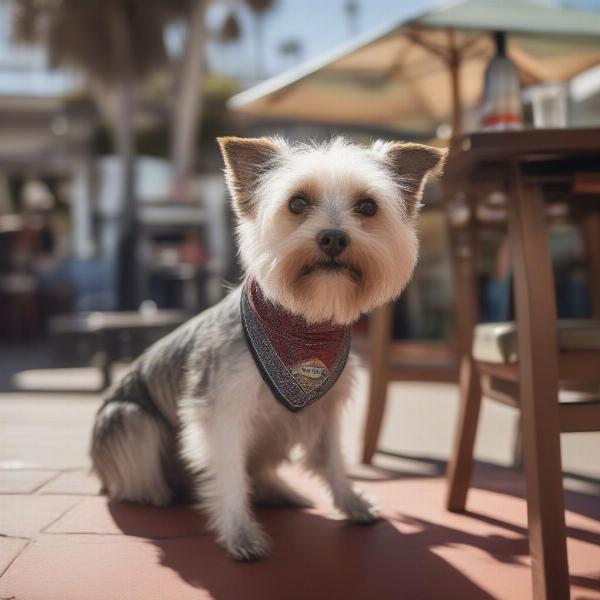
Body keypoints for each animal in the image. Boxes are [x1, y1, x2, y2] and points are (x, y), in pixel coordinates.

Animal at [90, 135, 446, 556]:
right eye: (297, 203)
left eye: (368, 206)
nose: (333, 237)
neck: (304, 324)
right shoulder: (222, 411)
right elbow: (228, 472)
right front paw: (239, 532)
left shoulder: (325, 410)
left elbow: (332, 460)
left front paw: (350, 502)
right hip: (130, 419)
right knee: (141, 461)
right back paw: (154, 494)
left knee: (258, 472)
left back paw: (279, 492)